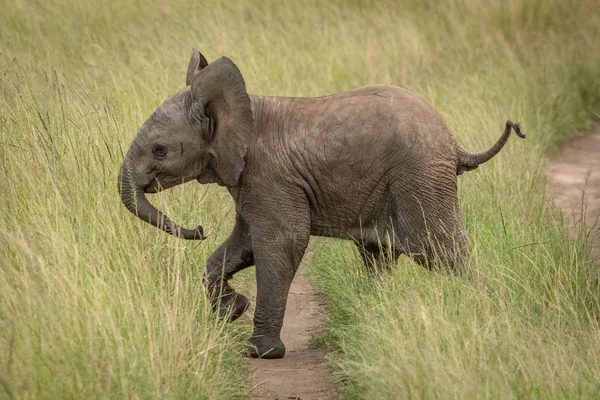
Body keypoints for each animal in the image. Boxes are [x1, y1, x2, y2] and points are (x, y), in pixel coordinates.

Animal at [117, 49, 524, 360]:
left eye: (160, 150)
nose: (198, 229)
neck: (240, 106)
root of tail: (454, 143)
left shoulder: (269, 177)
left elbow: (283, 241)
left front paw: (260, 352)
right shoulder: (250, 181)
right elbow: (241, 245)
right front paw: (233, 310)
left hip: (421, 179)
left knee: (441, 252)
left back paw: (483, 309)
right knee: (380, 256)